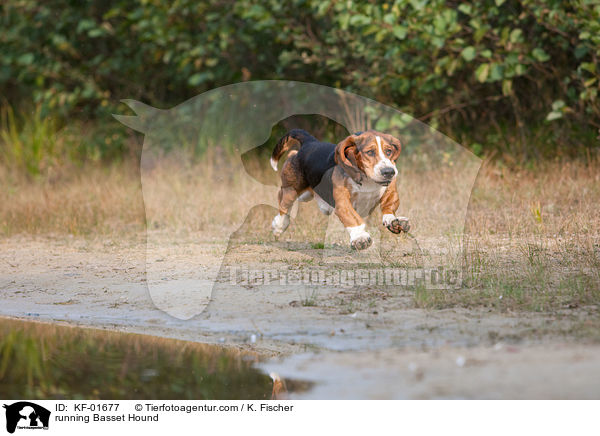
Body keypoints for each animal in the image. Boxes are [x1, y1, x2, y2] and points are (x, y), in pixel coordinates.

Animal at [270, 129, 410, 249]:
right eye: (370, 152)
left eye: (389, 151)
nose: (389, 172)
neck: (367, 179)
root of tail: (310, 142)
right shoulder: (343, 204)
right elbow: (353, 219)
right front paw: (360, 237)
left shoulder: (390, 191)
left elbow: (388, 206)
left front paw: (394, 221)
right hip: (292, 190)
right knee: (283, 203)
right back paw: (279, 226)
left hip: (305, 195)